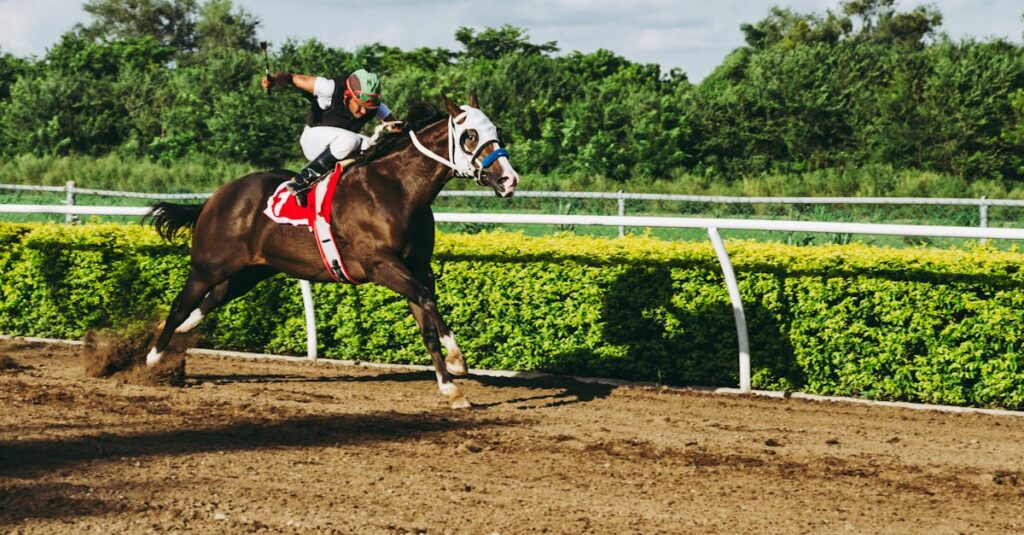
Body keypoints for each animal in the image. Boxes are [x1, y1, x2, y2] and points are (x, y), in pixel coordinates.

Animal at [145, 94, 520, 408]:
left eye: (497, 131)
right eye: (470, 135)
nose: (509, 180)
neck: (398, 190)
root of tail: (215, 198)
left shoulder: (418, 268)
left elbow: (426, 320)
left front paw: (451, 389)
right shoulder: (381, 265)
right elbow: (427, 301)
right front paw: (457, 362)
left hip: (249, 272)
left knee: (208, 302)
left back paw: (179, 336)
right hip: (207, 266)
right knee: (180, 305)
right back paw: (152, 358)